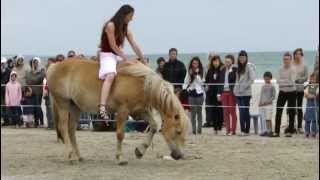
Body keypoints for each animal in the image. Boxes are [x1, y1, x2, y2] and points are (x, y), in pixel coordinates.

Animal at [46, 58, 189, 165]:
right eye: (178, 131)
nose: (179, 155)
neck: (141, 83)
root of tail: (54, 66)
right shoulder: (123, 111)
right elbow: (120, 134)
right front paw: (120, 158)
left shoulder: (139, 111)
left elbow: (154, 126)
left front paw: (140, 151)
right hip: (63, 105)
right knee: (64, 128)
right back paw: (70, 156)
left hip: (75, 108)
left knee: (71, 130)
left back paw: (79, 156)